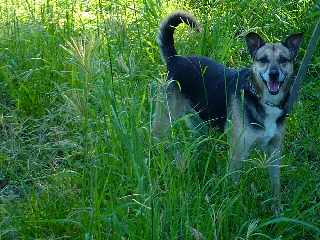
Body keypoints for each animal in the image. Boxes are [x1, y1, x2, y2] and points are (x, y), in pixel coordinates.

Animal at [152, 11, 302, 210]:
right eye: (263, 60)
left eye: (284, 60)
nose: (273, 74)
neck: (262, 99)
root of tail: (175, 59)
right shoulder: (238, 153)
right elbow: (234, 185)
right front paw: (234, 206)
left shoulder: (275, 152)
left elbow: (275, 184)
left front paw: (277, 209)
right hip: (164, 120)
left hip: (198, 123)